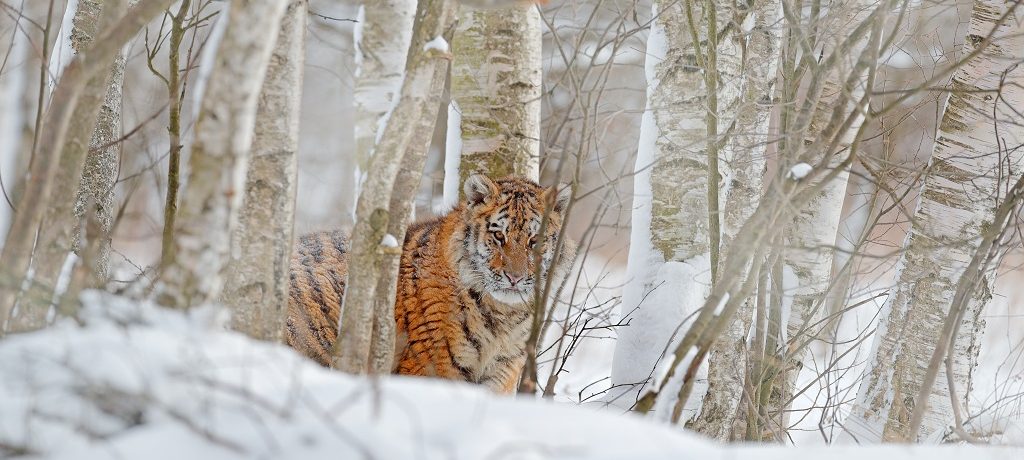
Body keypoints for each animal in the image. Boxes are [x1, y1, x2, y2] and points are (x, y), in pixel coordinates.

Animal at [286, 174, 577, 393]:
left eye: (534, 241)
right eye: (498, 236)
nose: (514, 278)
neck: (503, 315)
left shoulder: (501, 372)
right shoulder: (432, 367)